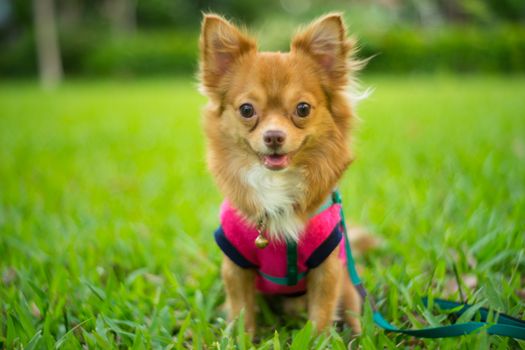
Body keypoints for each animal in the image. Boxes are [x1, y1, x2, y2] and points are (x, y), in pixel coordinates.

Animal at [199, 12, 362, 334]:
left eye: (303, 109)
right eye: (246, 110)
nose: (273, 136)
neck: (275, 182)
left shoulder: (328, 268)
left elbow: (320, 316)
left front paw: (317, 339)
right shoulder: (236, 267)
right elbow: (242, 313)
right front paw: (241, 338)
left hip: (350, 289)